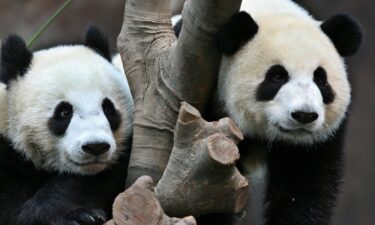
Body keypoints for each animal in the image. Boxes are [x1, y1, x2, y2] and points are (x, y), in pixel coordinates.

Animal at [0, 25, 134, 224]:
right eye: (64, 112)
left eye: (108, 109)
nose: (96, 146)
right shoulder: (7, 154)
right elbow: (13, 214)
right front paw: (79, 217)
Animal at [174, 0, 364, 225]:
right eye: (277, 76)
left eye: (320, 78)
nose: (304, 115)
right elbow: (211, 189)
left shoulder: (316, 142)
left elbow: (304, 188)